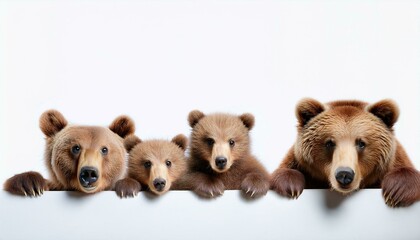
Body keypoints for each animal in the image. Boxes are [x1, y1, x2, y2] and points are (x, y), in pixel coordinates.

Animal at [270, 98, 418, 207]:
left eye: (361, 143)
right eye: (329, 143)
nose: (344, 174)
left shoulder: (396, 160)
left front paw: (396, 191)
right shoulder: (299, 164)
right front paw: (291, 186)